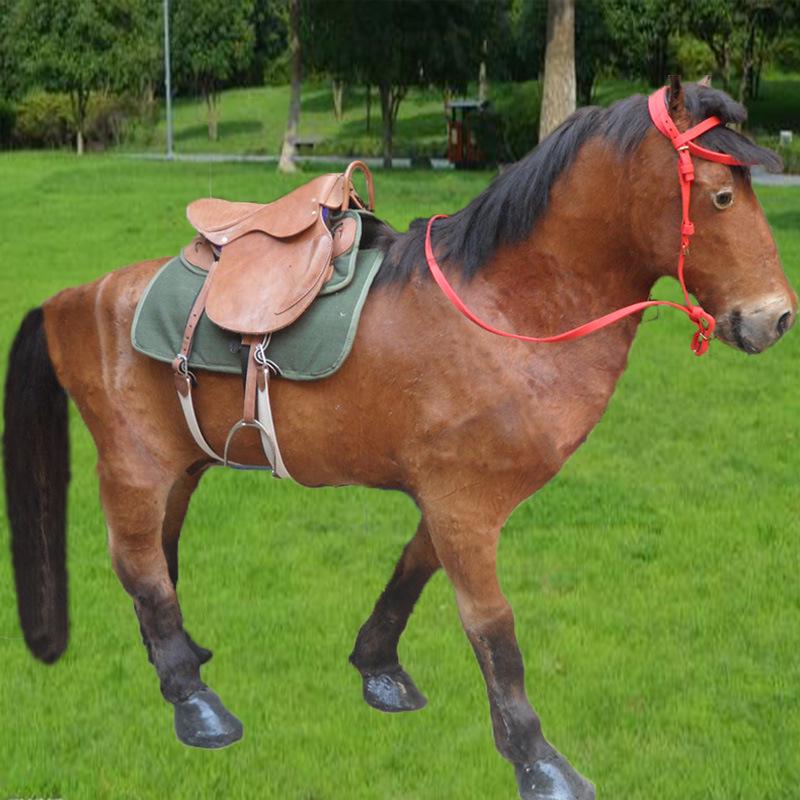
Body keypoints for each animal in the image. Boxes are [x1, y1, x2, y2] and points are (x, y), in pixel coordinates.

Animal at [3, 79, 795, 800]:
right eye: (721, 197)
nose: (777, 317)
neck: (500, 308)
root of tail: (72, 299)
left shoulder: (450, 500)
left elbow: (412, 575)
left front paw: (378, 667)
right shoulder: (465, 507)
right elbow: (493, 629)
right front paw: (535, 757)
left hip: (182, 466)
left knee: (159, 562)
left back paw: (179, 658)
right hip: (135, 466)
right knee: (139, 565)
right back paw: (193, 699)